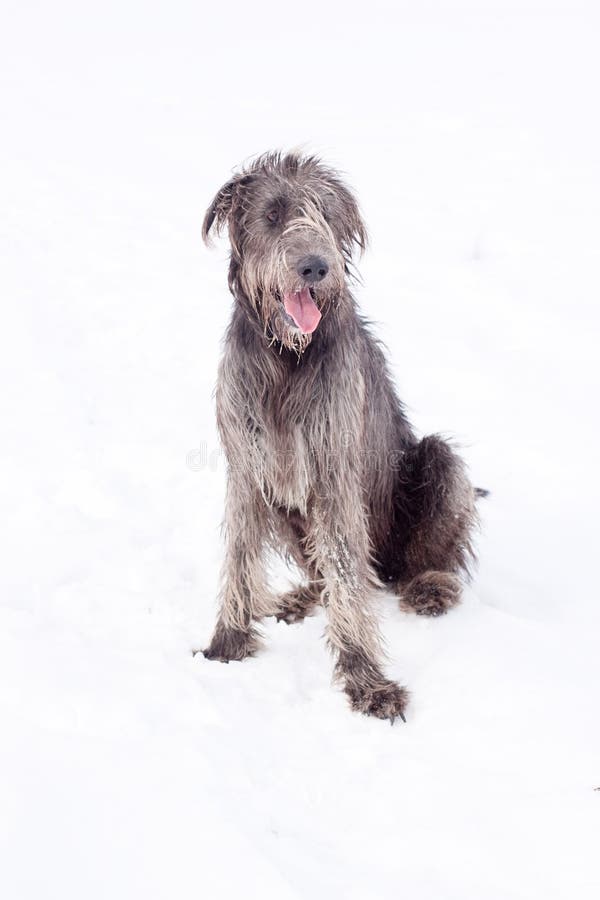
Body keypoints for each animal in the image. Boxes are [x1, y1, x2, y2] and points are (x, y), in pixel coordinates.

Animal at [202, 151, 478, 720]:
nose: (315, 267)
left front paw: (365, 678)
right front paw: (229, 640)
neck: (287, 356)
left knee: (410, 559)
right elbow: (240, 554)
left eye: (324, 215)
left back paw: (430, 586)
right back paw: (300, 597)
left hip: (434, 467)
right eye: (272, 214)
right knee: (321, 570)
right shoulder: (247, 467)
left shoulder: (333, 470)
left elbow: (348, 573)